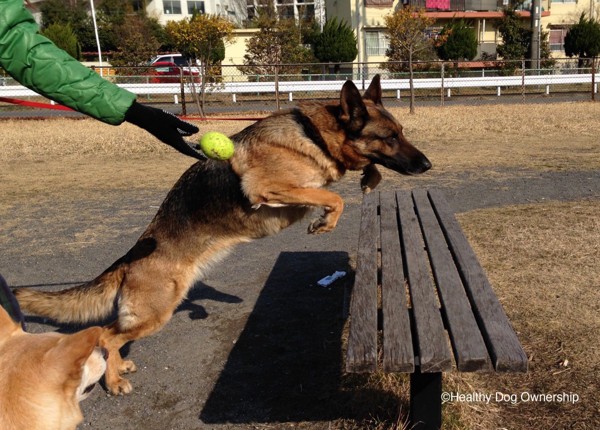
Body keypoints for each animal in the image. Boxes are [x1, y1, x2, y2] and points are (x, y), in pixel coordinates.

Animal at [14, 74, 432, 394]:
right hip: (156, 312)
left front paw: (367, 180)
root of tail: (131, 255)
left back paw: (118, 366)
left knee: (111, 333)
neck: (315, 135)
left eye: (402, 133)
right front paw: (325, 221)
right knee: (103, 334)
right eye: (389, 137)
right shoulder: (270, 190)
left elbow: (352, 182)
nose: (427, 164)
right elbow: (332, 196)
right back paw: (113, 380)